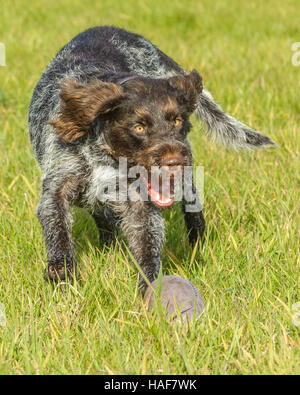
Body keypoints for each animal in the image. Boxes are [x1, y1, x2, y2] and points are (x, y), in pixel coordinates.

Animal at [28, 24, 274, 290]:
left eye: (177, 121)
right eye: (139, 127)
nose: (174, 161)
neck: (104, 154)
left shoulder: (140, 205)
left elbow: (147, 244)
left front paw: (151, 288)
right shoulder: (58, 188)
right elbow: (58, 231)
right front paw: (61, 271)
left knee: (192, 205)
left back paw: (197, 241)